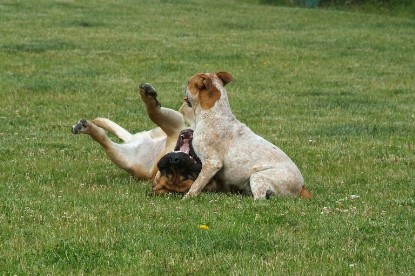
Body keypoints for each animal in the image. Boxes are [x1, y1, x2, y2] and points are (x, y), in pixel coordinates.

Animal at [183, 72, 312, 199]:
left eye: (189, 82)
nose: (184, 86)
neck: (214, 114)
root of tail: (302, 187)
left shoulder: (212, 163)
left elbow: (196, 185)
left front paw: (186, 198)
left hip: (257, 177)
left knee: (260, 199)